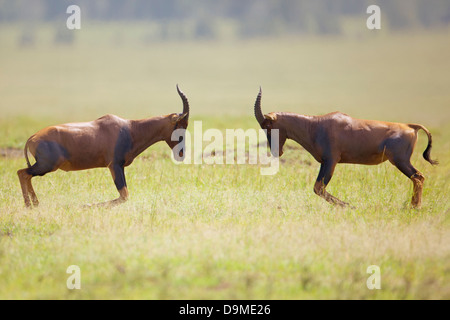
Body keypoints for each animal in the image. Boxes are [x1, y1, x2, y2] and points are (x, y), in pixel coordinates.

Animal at [17, 85, 190, 208]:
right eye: (180, 125)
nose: (181, 154)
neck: (129, 128)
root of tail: (32, 138)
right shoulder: (114, 165)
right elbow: (124, 195)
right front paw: (86, 205)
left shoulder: (119, 166)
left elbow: (124, 195)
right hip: (47, 165)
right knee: (23, 173)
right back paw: (30, 205)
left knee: (25, 174)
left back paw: (35, 204)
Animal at [255, 87, 438, 209]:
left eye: (268, 125)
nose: (276, 151)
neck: (315, 125)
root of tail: (411, 127)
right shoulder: (326, 162)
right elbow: (318, 188)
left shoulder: (331, 161)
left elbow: (319, 188)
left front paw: (348, 205)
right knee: (418, 178)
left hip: (400, 161)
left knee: (418, 177)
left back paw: (414, 207)